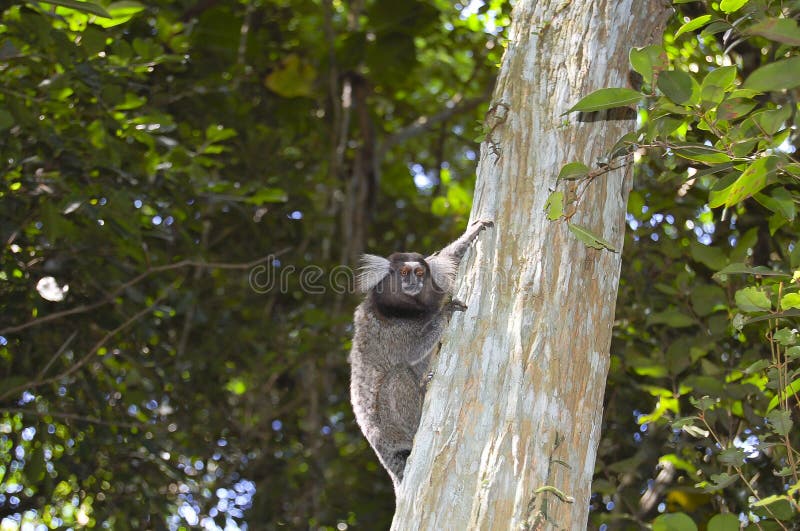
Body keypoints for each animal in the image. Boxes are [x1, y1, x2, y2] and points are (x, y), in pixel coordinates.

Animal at [346, 219, 490, 490]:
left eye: (420, 273)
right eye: (403, 273)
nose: (414, 281)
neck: (406, 310)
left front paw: (468, 237)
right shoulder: (389, 331)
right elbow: (411, 353)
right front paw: (445, 313)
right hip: (394, 427)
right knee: (398, 376)